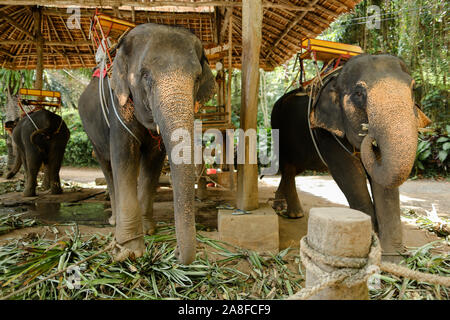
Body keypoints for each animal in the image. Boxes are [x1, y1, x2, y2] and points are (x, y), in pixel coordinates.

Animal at [78, 23, 216, 264]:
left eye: (197, 78)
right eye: (145, 75)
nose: (176, 251)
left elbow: (153, 163)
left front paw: (149, 230)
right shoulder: (118, 104)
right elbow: (123, 157)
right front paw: (129, 251)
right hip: (91, 134)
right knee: (107, 167)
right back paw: (114, 220)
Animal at [270, 53, 432, 258]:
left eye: (412, 89)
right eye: (359, 94)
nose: (368, 133)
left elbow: (383, 184)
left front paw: (392, 255)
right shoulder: (327, 132)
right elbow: (350, 175)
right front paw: (370, 241)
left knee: (292, 169)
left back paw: (284, 208)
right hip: (276, 129)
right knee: (286, 167)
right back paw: (293, 214)